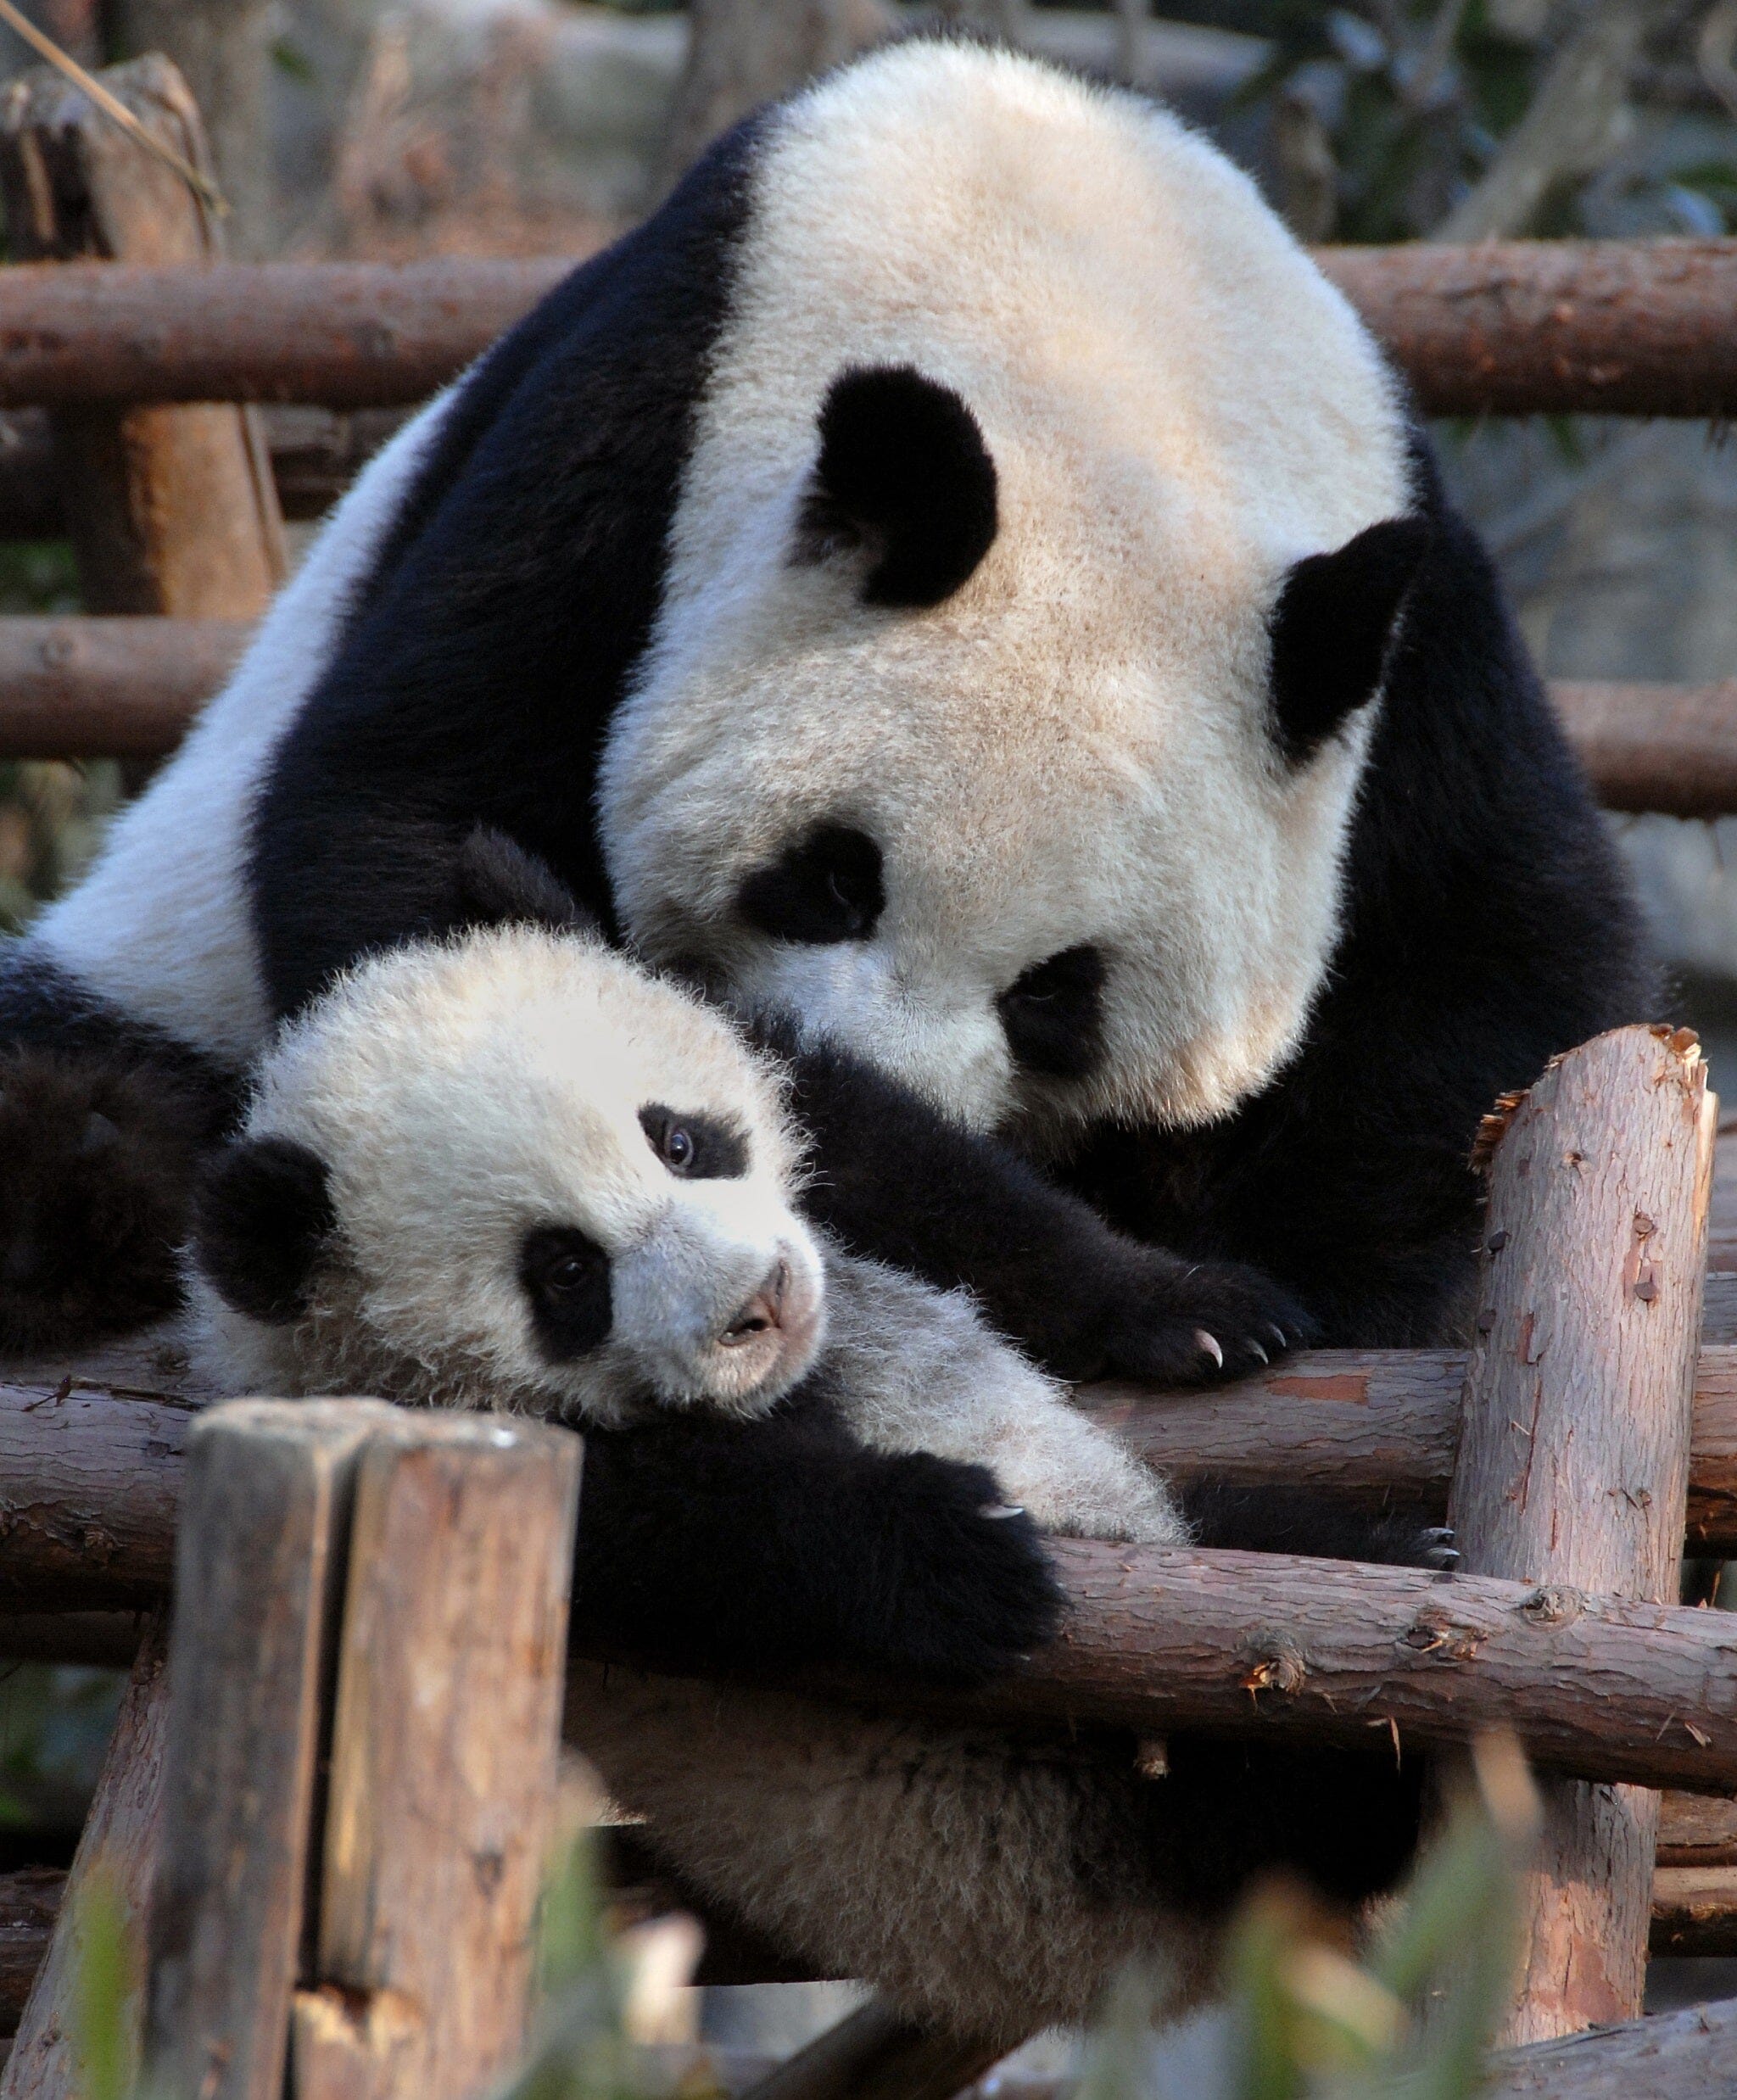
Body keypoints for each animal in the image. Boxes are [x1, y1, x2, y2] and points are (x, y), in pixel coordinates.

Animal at [0, 40, 1649, 1440]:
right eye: (834, 876)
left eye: (1060, 997)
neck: (1088, 324)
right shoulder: (631, 440)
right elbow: (410, 836)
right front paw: (1166, 1299)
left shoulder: (1406, 637)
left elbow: (1497, 969)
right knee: (89, 1114)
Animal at [187, 884, 1423, 2043]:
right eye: (565, 1272)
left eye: (677, 1139)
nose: (763, 1301)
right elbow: (684, 1530)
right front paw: (953, 1551)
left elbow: (910, 1167)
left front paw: (1196, 1311)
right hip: (1081, 1818)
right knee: (1287, 1801)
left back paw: (1399, 1542)